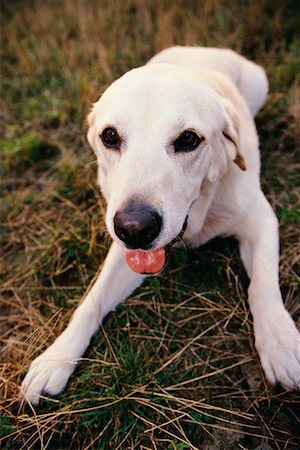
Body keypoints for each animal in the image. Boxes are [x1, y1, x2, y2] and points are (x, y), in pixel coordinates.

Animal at [21, 45, 300, 404]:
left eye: (188, 139)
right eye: (109, 136)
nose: (134, 228)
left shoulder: (260, 220)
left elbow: (262, 284)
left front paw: (280, 343)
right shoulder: (122, 253)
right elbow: (91, 300)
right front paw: (56, 357)